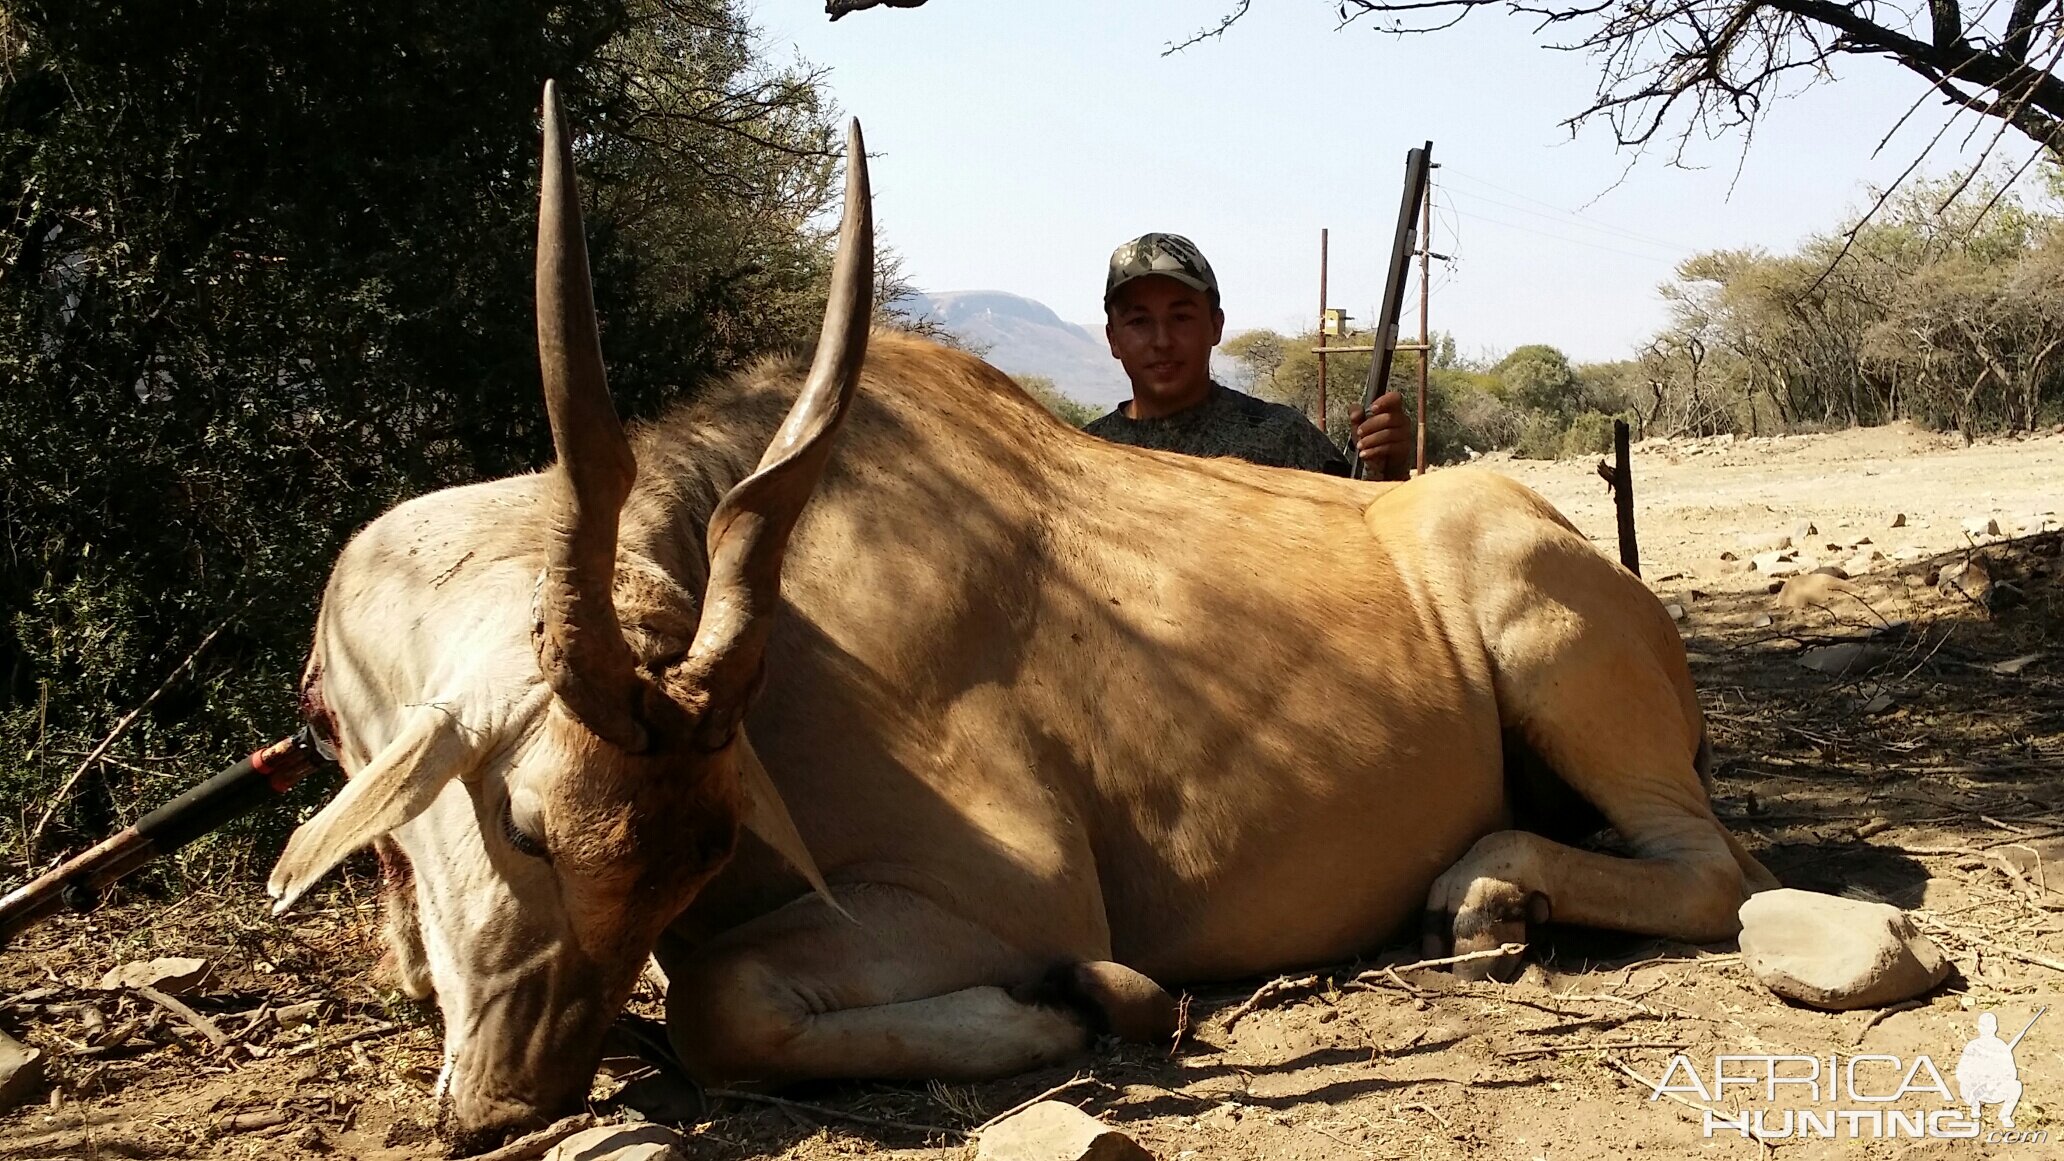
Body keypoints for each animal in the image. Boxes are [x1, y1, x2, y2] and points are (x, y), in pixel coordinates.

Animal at [266, 83, 1783, 1148]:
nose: (509, 1105)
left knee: (1716, 871)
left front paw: (1095, 998)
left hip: (1557, 656)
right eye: (523, 828)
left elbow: (719, 1000)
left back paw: (1486, 893)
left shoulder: (1011, 890)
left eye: (692, 859)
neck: (794, 633)